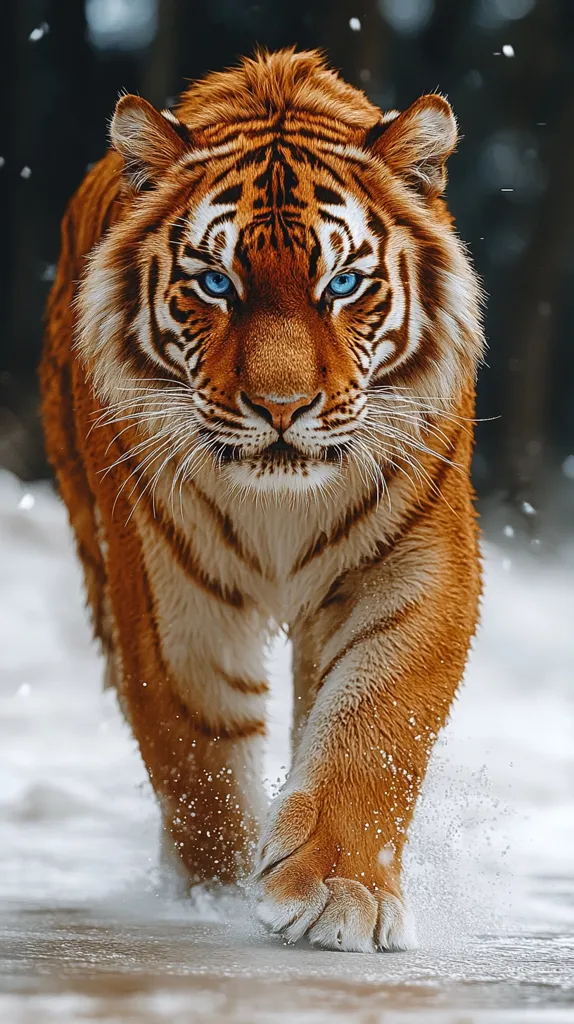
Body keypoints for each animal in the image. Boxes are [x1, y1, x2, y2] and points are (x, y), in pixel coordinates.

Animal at [41, 47, 484, 953]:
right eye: (216, 282)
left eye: (342, 283)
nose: (282, 408)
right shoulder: (168, 595)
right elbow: (199, 761)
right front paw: (214, 897)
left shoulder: (421, 559)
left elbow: (376, 717)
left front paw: (339, 891)